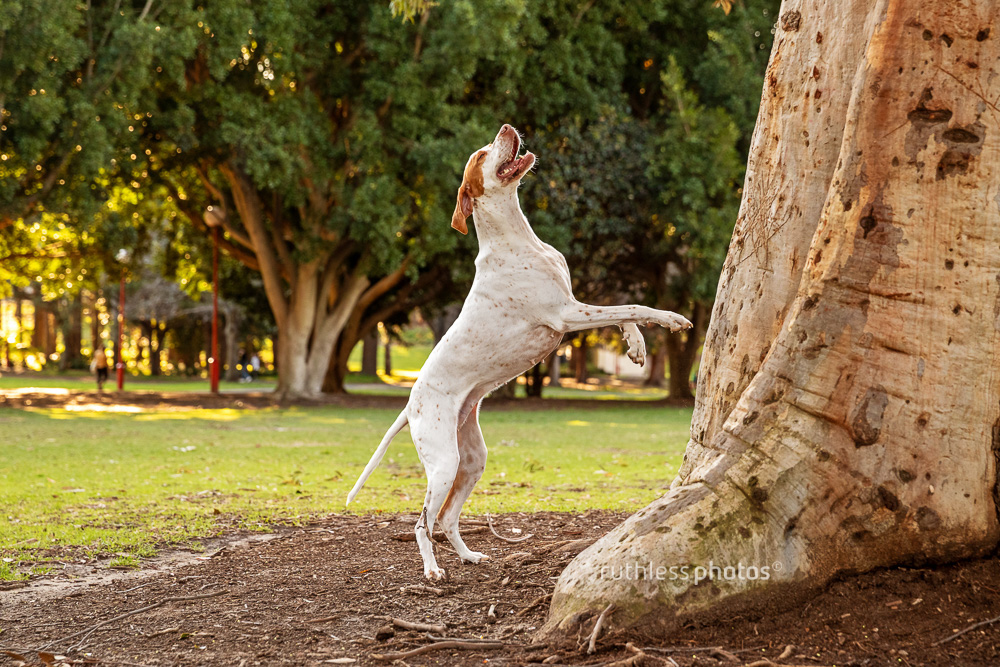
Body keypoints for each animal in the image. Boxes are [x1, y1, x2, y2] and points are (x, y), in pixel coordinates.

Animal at [348, 124, 692, 580]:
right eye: (482, 154)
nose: (507, 128)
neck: (519, 238)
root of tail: (411, 403)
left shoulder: (574, 306)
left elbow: (623, 311)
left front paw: (635, 344)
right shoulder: (566, 314)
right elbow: (633, 305)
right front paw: (671, 318)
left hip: (471, 460)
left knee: (447, 518)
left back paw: (469, 556)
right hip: (442, 462)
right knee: (423, 523)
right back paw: (433, 571)